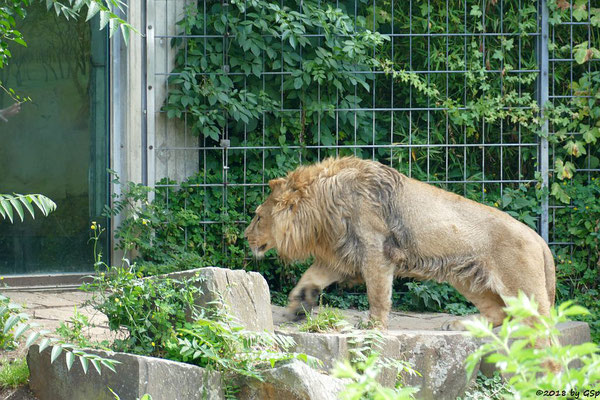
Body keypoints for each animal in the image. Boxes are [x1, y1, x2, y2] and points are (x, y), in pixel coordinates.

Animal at [243, 155, 552, 328]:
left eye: (258, 217)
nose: (246, 237)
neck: (322, 206)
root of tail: (539, 240)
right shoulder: (345, 252)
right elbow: (311, 276)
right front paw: (298, 305)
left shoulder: (375, 251)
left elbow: (378, 294)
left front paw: (374, 325)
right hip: (467, 280)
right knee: (499, 314)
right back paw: (459, 325)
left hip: (523, 290)